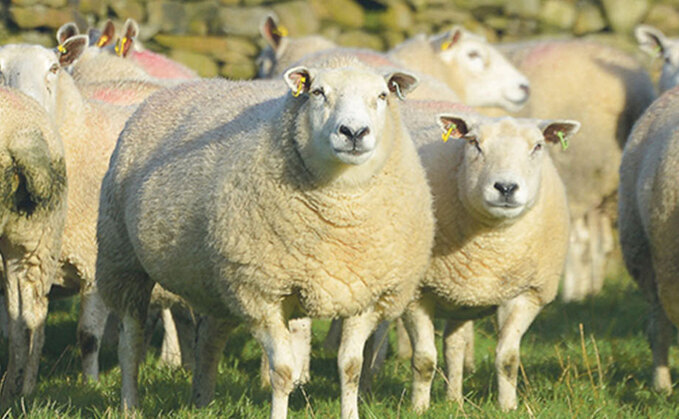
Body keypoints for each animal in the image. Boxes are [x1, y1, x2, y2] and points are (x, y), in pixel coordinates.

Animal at [95, 56, 434, 418]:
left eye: (383, 95)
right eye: (317, 92)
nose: (354, 132)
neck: (342, 208)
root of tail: (173, 89)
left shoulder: (366, 293)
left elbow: (351, 367)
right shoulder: (262, 293)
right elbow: (283, 372)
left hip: (217, 279)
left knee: (209, 339)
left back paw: (202, 401)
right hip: (123, 258)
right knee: (131, 341)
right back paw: (130, 404)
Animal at [398, 100, 578, 412]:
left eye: (538, 146)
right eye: (474, 143)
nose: (505, 188)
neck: (492, 245)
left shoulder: (526, 294)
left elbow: (508, 359)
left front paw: (508, 407)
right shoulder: (416, 293)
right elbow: (423, 360)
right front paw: (418, 409)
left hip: (460, 298)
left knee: (454, 345)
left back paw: (455, 400)